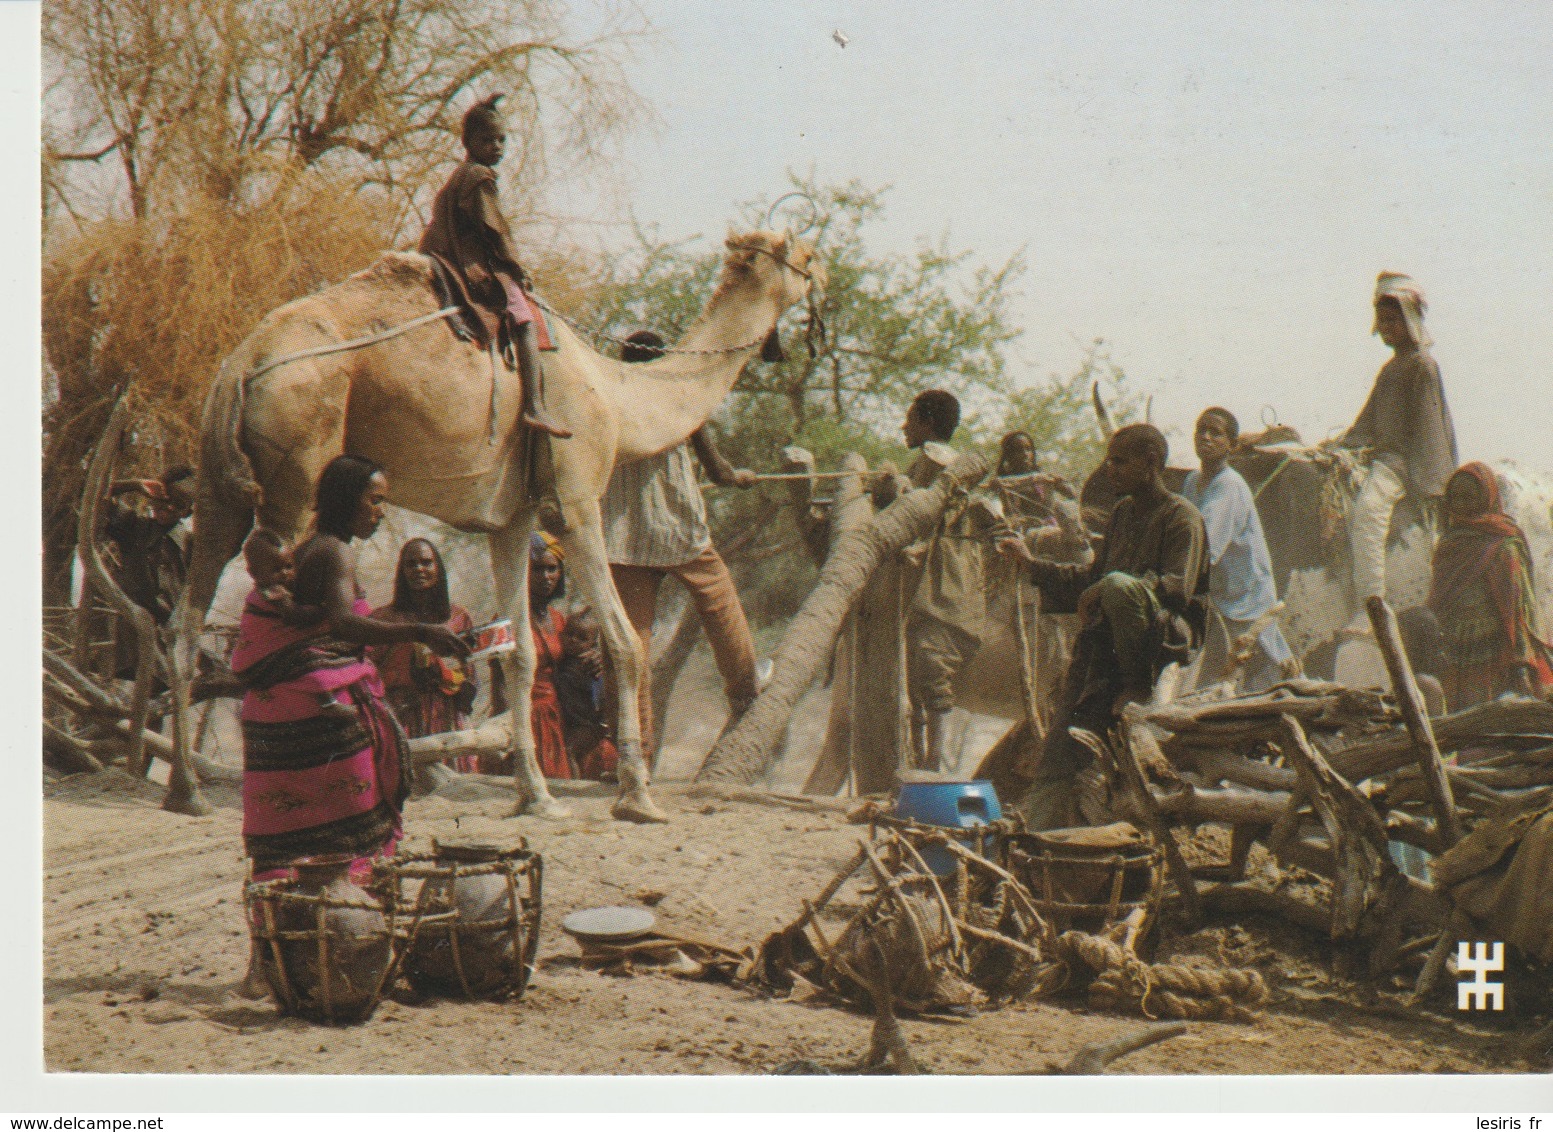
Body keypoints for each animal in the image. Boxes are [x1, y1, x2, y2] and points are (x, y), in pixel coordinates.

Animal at [184, 226, 826, 819]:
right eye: (807, 256)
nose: (821, 278)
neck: (616, 398)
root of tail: (241, 363)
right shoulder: (576, 501)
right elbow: (624, 642)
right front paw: (636, 796)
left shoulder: (511, 521)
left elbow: (520, 652)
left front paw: (535, 796)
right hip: (294, 473)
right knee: (272, 603)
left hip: (219, 484)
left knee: (190, 607)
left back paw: (187, 788)